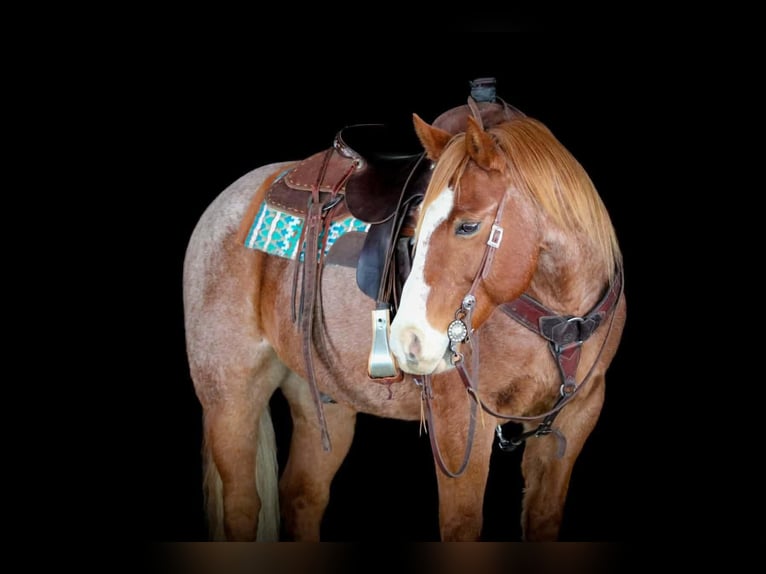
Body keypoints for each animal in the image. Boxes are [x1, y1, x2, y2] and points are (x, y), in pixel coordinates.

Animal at [182, 95, 626, 541]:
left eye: (468, 226)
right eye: (415, 223)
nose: (407, 340)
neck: (560, 317)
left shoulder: (577, 415)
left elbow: (543, 517)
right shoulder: (460, 421)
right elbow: (461, 524)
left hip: (321, 397)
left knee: (302, 495)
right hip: (230, 396)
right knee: (242, 505)